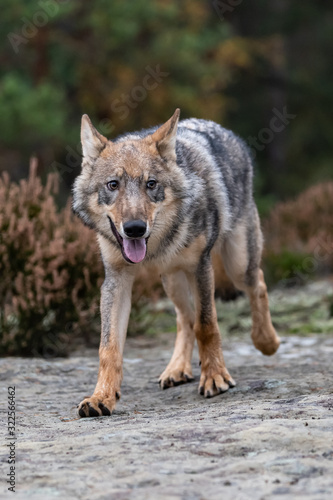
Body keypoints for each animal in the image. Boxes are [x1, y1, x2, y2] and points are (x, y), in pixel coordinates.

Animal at [73, 109, 280, 418]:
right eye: (113, 185)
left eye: (151, 184)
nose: (135, 229)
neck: (155, 247)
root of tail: (220, 128)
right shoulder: (116, 280)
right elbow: (108, 348)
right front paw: (102, 397)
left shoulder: (200, 267)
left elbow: (207, 326)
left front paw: (215, 378)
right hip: (171, 279)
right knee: (184, 318)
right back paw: (177, 369)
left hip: (237, 264)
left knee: (259, 284)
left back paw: (266, 341)